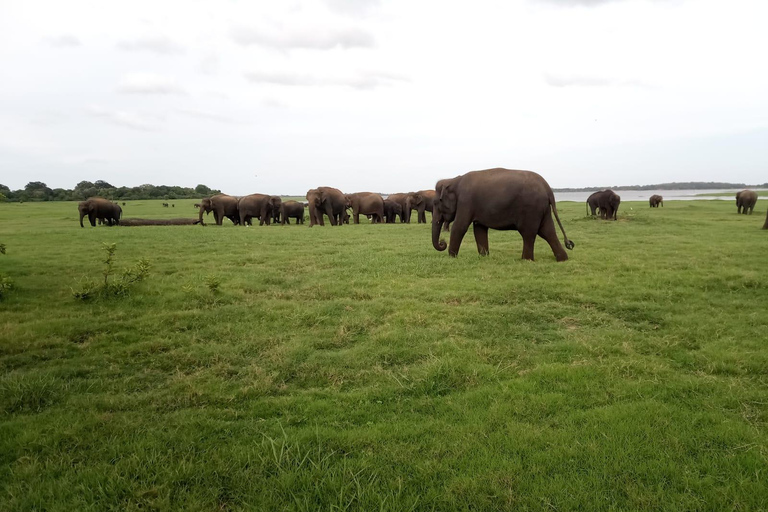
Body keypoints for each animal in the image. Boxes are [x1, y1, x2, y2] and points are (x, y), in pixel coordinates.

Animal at [432, 168, 576, 262]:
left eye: (436, 203)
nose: (442, 242)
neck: (454, 180)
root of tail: (548, 189)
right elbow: (479, 229)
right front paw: (484, 256)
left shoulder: (465, 201)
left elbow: (459, 226)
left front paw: (452, 258)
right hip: (543, 209)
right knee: (547, 232)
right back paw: (562, 259)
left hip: (531, 209)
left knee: (529, 233)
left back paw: (526, 260)